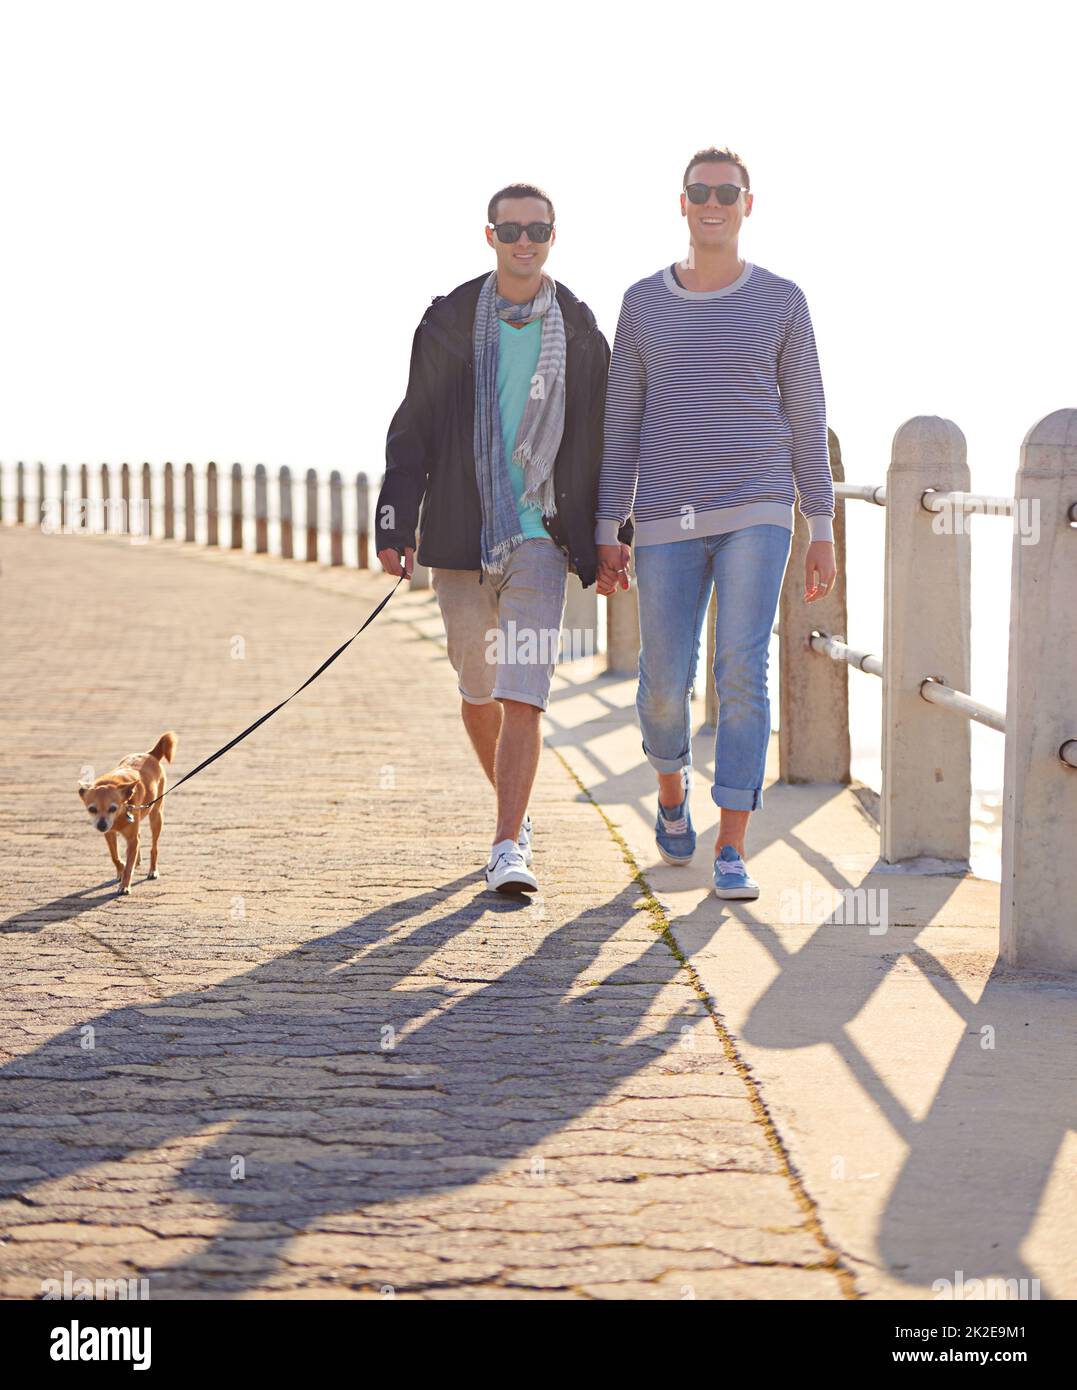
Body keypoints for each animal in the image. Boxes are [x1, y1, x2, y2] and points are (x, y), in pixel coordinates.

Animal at [78, 733, 177, 895]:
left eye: (113, 808)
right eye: (92, 809)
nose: (101, 825)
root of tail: (149, 754)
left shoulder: (130, 837)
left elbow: (129, 866)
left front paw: (124, 885)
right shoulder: (109, 834)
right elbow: (115, 857)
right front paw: (121, 870)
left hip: (156, 816)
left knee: (153, 847)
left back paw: (153, 870)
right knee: (139, 838)